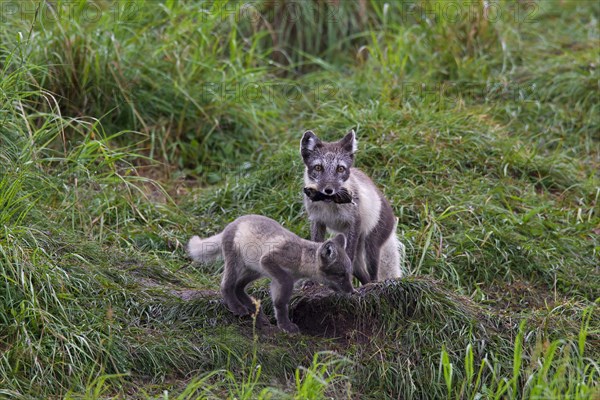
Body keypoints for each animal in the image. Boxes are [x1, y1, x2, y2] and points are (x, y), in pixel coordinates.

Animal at [188, 214, 354, 332]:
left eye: (349, 273)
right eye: (341, 274)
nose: (352, 291)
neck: (300, 258)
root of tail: (231, 223)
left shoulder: (274, 278)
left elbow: (279, 303)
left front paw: (282, 324)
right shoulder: (270, 262)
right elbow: (283, 295)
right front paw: (286, 326)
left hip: (255, 271)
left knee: (239, 287)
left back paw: (256, 311)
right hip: (238, 265)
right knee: (226, 286)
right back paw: (237, 308)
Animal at [302, 129, 406, 284]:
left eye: (340, 169)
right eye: (318, 167)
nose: (328, 190)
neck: (329, 204)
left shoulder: (354, 221)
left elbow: (348, 255)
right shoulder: (317, 221)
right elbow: (315, 247)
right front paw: (311, 282)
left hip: (371, 247)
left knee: (373, 275)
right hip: (356, 255)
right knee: (364, 276)